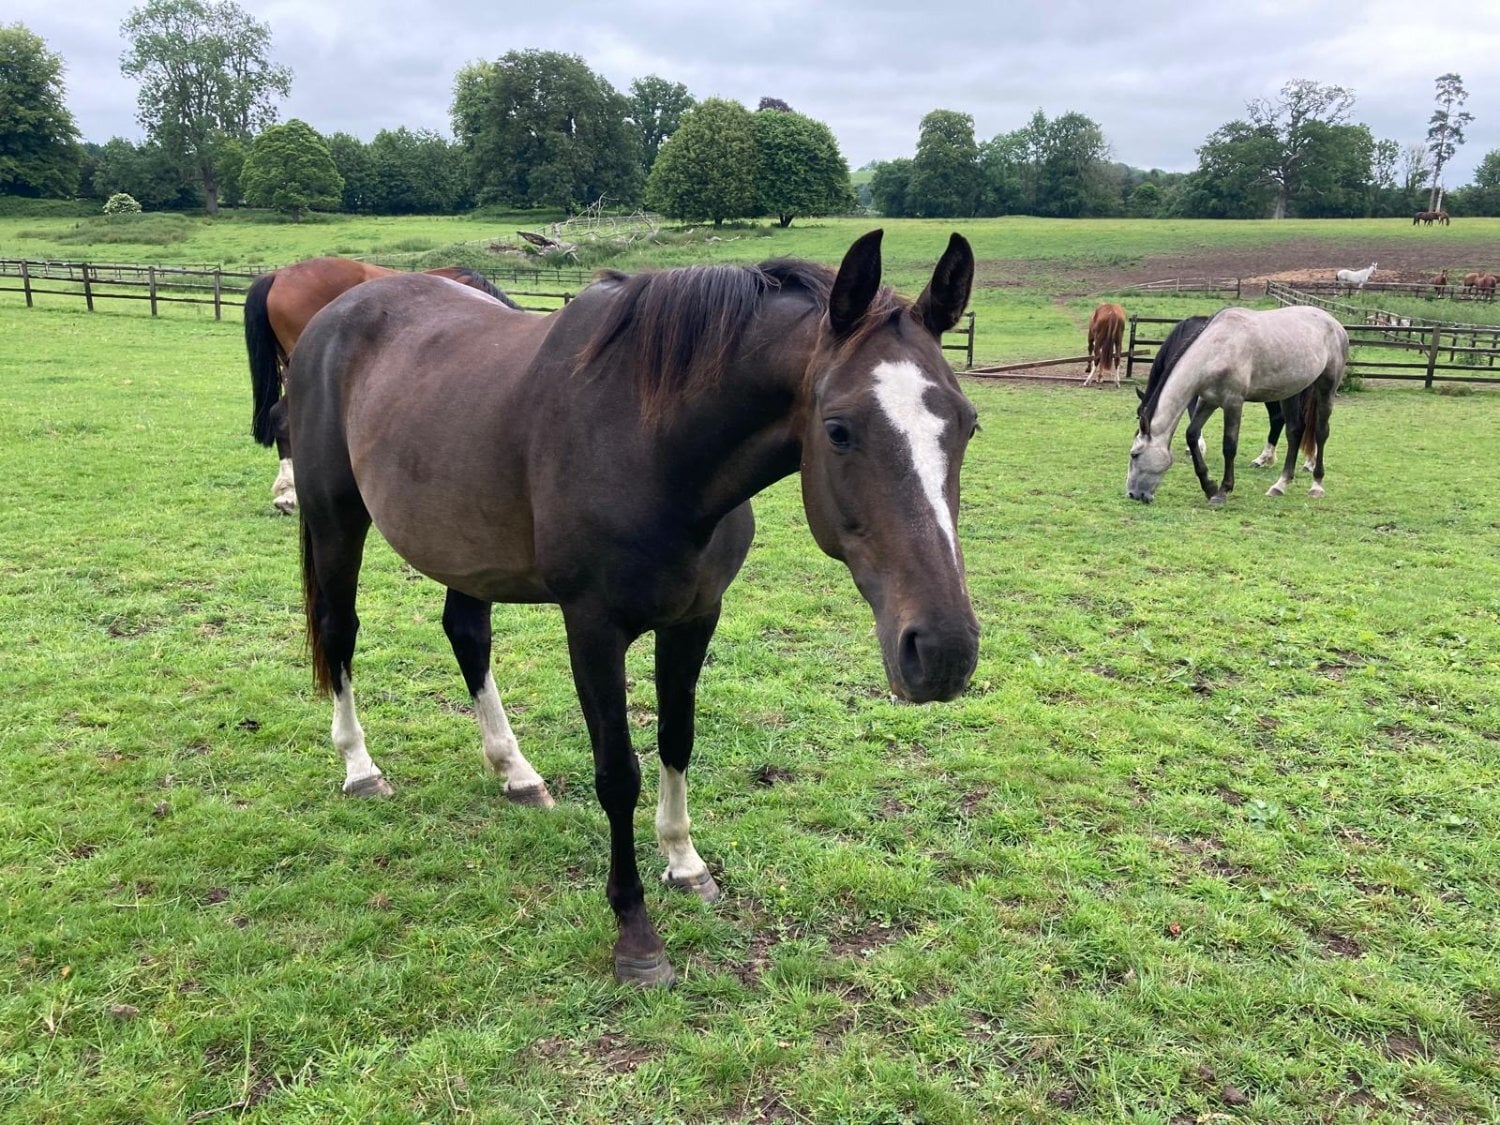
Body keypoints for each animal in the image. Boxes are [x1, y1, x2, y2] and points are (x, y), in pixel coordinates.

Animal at [284, 230, 981, 987]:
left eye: (968, 424)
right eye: (839, 429)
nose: (944, 651)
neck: (651, 443)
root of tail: (338, 310)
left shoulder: (695, 618)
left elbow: (677, 740)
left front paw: (685, 864)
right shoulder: (593, 627)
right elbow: (619, 772)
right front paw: (636, 935)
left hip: (462, 543)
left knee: (466, 635)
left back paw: (516, 773)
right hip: (335, 518)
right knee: (340, 632)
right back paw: (360, 768)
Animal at [1127, 306, 1347, 505]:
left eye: (1135, 454)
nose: (1132, 494)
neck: (1216, 349)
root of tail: (1335, 324)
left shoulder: (1233, 402)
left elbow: (1229, 445)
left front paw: (1222, 491)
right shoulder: (1208, 400)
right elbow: (1191, 434)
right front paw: (1209, 487)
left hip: (1326, 388)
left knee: (1321, 432)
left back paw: (1316, 485)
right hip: (1291, 391)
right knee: (1294, 432)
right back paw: (1280, 485)